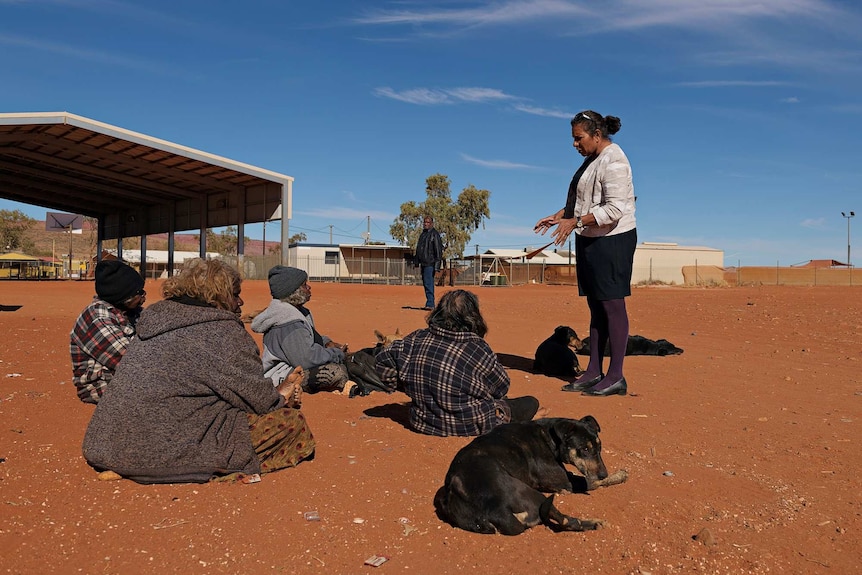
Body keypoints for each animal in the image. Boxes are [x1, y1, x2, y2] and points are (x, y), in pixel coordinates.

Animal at [436, 418, 632, 536]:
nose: (603, 472)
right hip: (536, 496)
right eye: (584, 449)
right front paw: (619, 475)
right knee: (566, 521)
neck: (550, 437)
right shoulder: (566, 481)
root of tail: (496, 512)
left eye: (599, 448)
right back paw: (595, 523)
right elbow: (595, 481)